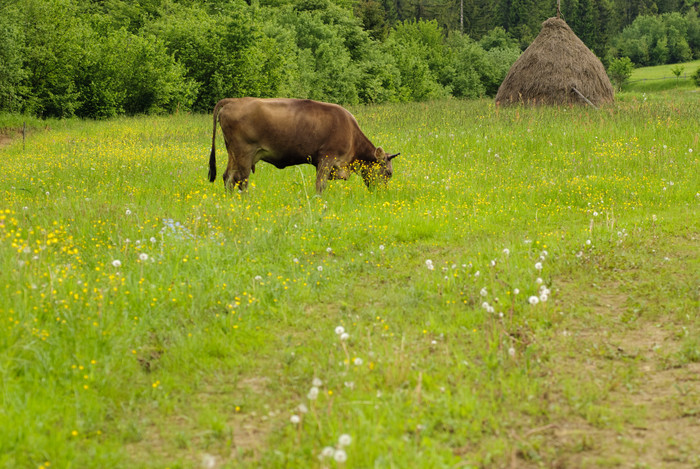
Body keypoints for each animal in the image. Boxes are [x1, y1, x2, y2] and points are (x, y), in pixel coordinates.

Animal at [208, 98, 400, 193]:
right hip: (244, 154)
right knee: (241, 179)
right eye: (389, 173)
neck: (351, 133)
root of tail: (233, 101)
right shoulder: (326, 159)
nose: (382, 193)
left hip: (233, 154)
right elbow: (320, 184)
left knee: (228, 177)